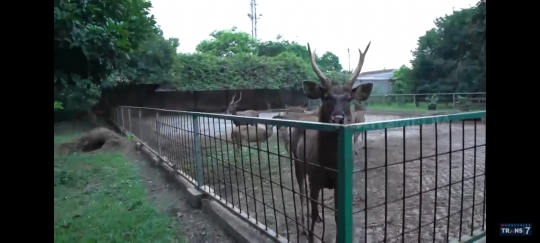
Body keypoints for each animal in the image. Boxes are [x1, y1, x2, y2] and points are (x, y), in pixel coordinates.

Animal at [294, 42, 374, 243]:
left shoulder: (339, 182)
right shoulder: (314, 178)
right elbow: (313, 211)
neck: (329, 163)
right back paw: (303, 226)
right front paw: (311, 237)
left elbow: (339, 216)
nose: (338, 118)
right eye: (326, 97)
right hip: (297, 161)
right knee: (301, 193)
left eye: (349, 98)